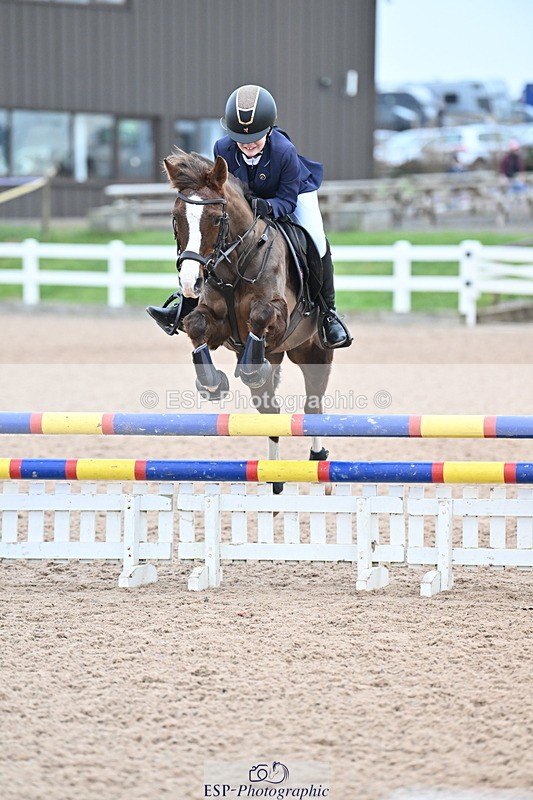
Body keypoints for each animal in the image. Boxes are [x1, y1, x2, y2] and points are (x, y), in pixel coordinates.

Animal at [153, 150, 334, 468]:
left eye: (216, 219)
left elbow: (260, 314)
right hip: (276, 357)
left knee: (313, 405)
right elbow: (195, 325)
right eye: (176, 218)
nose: (190, 283)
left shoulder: (280, 317)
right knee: (271, 412)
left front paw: (250, 368)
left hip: (313, 350)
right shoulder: (218, 326)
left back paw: (317, 455)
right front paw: (212, 384)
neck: (232, 265)